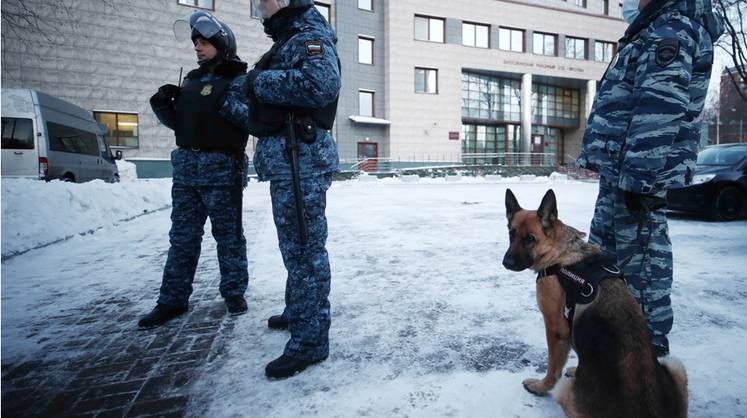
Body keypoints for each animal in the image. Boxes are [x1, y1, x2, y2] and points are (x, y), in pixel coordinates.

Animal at [502, 190, 688, 418]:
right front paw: (576, 369)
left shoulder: (556, 328)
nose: (506, 263)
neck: (559, 253)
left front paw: (541, 387)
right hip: (676, 367)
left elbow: (553, 366)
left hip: (566, 393)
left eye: (529, 239)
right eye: (511, 234)